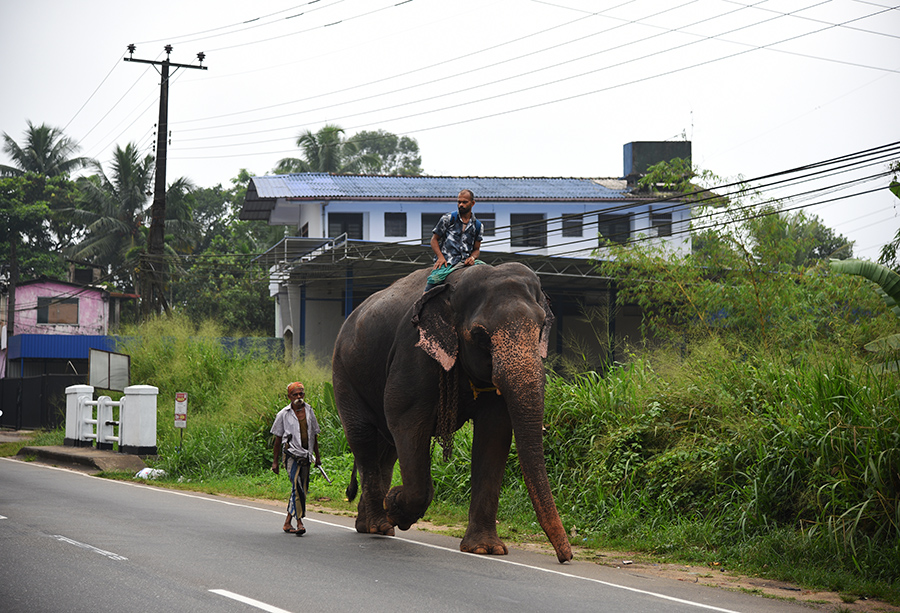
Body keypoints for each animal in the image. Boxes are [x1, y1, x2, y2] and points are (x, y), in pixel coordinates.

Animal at [334, 260, 572, 560]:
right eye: (481, 335)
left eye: (541, 327)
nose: (566, 557)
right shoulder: (413, 351)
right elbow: (406, 419)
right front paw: (397, 506)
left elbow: (495, 432)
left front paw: (486, 549)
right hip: (344, 374)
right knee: (363, 438)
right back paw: (380, 524)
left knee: (386, 449)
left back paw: (374, 525)